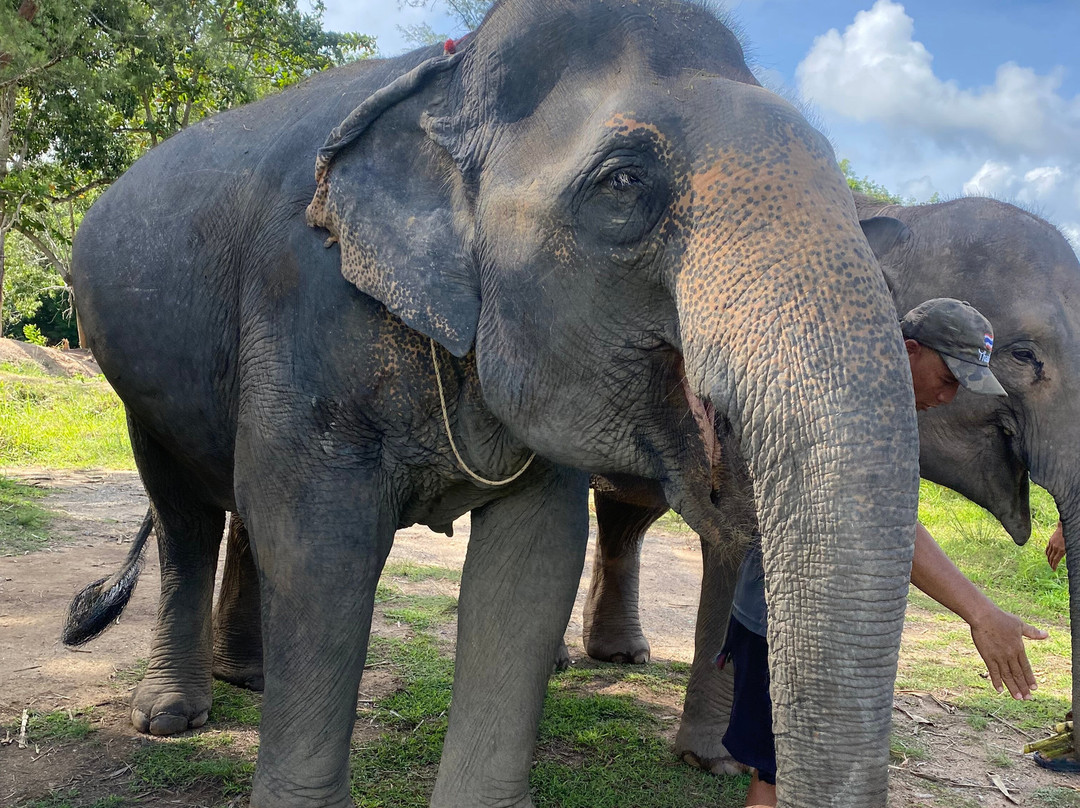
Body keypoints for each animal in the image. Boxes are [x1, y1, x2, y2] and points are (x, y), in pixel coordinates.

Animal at [61, 1, 922, 806]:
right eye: (624, 183)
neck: (454, 75)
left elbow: (532, 565)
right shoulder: (302, 296)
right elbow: (319, 551)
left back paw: (251, 679)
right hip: (140, 380)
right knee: (185, 516)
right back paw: (171, 716)